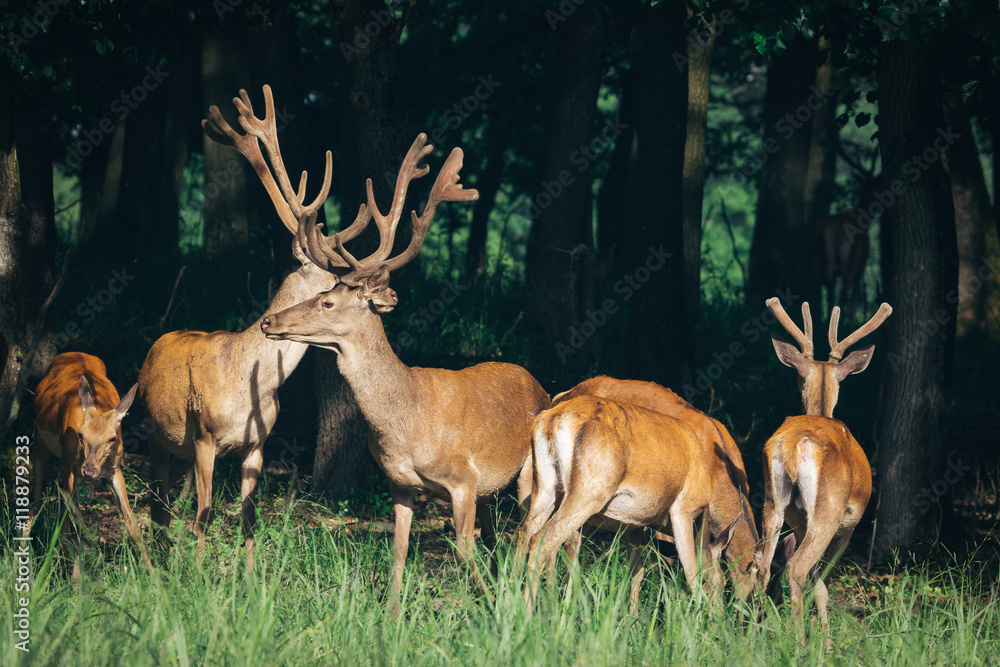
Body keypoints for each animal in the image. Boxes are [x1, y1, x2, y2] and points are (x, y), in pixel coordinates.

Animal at [32, 352, 150, 576]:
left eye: (112, 438)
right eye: (80, 434)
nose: (89, 471)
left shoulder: (114, 468)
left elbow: (132, 525)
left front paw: (155, 575)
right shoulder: (67, 464)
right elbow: (73, 523)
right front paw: (73, 579)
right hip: (40, 438)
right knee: (36, 498)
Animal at [524, 378, 756, 604]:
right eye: (722, 581)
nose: (724, 613)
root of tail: (553, 414)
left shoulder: (633, 523)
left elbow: (637, 571)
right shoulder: (681, 510)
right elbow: (689, 573)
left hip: (546, 487)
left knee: (527, 533)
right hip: (587, 491)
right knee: (549, 540)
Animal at [756, 298, 892, 640]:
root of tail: (794, 446)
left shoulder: (798, 523)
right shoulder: (849, 526)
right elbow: (824, 585)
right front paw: (826, 642)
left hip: (773, 502)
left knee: (762, 563)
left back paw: (752, 633)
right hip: (828, 508)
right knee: (797, 567)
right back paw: (797, 640)